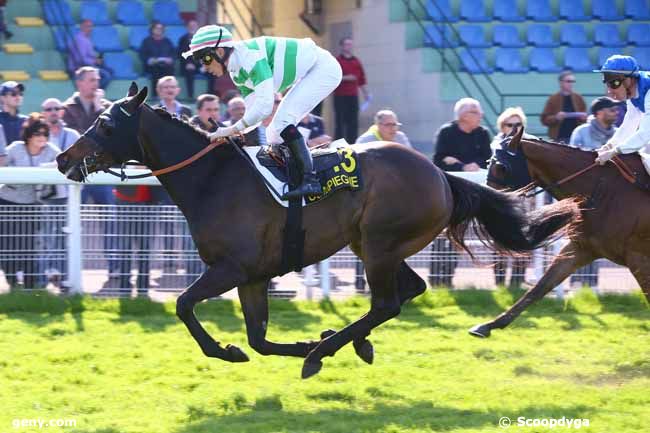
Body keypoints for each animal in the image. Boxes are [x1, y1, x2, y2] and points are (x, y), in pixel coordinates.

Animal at [53, 82, 576, 376]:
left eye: (105, 124)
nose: (62, 158)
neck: (213, 179)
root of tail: (439, 173)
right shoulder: (253, 276)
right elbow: (259, 339)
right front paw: (286, 344)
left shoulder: (231, 268)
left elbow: (184, 305)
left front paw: (232, 351)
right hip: (375, 246)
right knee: (409, 289)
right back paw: (346, 342)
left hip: (379, 244)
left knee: (387, 302)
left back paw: (324, 351)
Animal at [468, 128, 648, 338]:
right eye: (488, 162)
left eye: (501, 167)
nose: (488, 205)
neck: (606, 191)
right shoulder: (582, 248)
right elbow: (540, 287)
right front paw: (487, 326)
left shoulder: (639, 257)